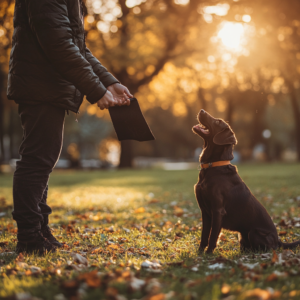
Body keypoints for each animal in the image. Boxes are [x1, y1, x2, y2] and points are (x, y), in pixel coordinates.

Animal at [192, 109, 300, 252]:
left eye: (218, 122)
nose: (202, 110)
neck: (212, 165)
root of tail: (278, 240)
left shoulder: (217, 211)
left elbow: (213, 237)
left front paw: (208, 255)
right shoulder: (205, 212)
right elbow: (204, 236)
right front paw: (199, 254)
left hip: (254, 233)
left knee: (267, 248)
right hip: (241, 236)